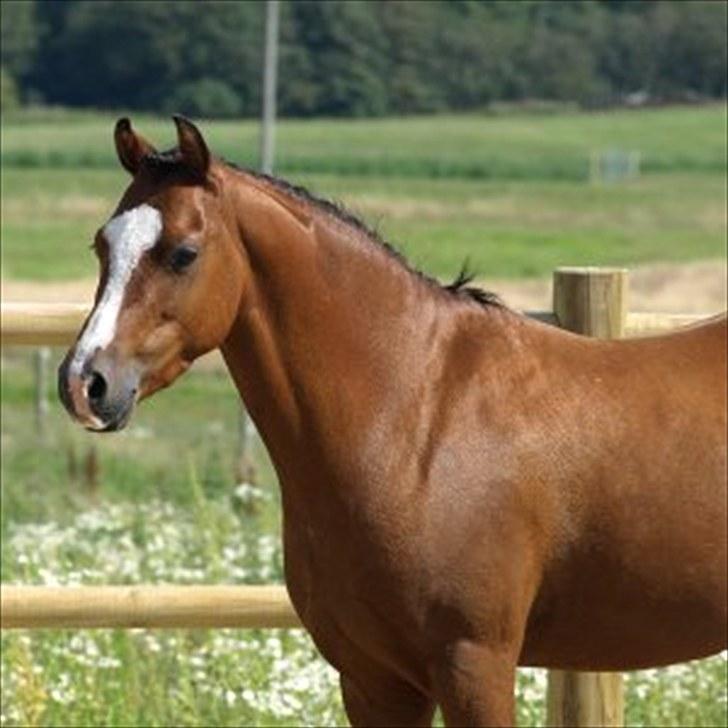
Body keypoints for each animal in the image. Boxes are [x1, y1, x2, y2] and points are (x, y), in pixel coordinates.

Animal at [58, 116, 727, 727]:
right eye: (101, 246)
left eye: (183, 253)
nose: (85, 383)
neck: (418, 422)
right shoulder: (372, 679)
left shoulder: (474, 665)